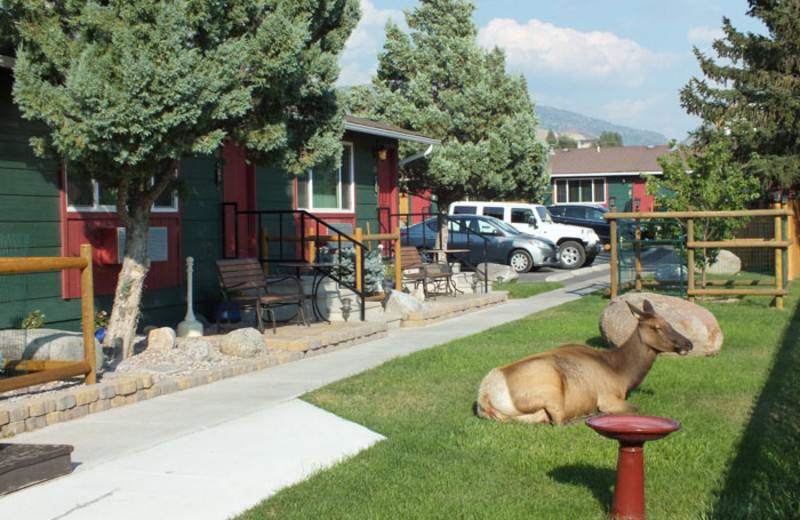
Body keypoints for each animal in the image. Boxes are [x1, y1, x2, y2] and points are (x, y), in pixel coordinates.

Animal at [476, 298, 692, 424]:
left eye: (669, 323)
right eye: (657, 327)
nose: (688, 343)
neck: (623, 374)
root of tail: (485, 396)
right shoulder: (608, 398)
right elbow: (637, 408)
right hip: (552, 391)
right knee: (560, 421)